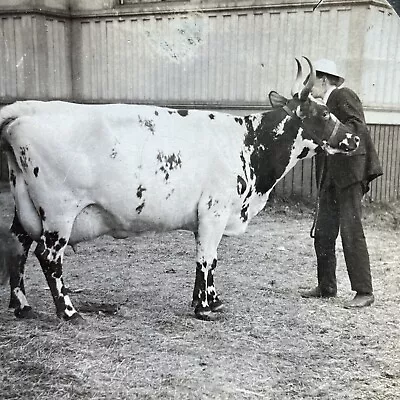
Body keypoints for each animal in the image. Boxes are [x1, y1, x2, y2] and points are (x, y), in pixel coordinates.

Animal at [0, 57, 360, 322]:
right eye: (324, 113)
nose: (355, 138)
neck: (247, 143)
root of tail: (31, 108)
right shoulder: (215, 210)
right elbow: (207, 258)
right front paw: (204, 309)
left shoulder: (204, 217)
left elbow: (207, 260)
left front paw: (210, 300)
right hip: (59, 211)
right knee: (48, 256)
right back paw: (69, 312)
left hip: (26, 205)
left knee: (17, 245)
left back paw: (23, 307)